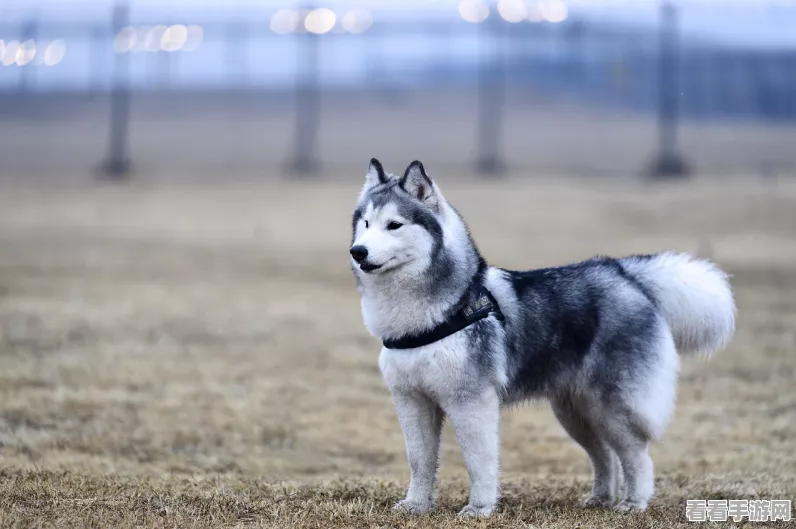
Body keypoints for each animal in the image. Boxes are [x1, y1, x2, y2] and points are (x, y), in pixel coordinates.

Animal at [352, 159, 736, 516]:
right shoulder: (411, 400)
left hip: (613, 406)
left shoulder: (470, 401)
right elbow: (419, 460)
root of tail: (625, 275)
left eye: (394, 225)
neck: (438, 311)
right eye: (366, 224)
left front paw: (479, 508)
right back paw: (600, 498)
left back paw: (633, 503)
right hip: (576, 413)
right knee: (605, 456)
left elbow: (478, 462)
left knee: (636, 455)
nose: (358, 251)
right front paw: (416, 505)